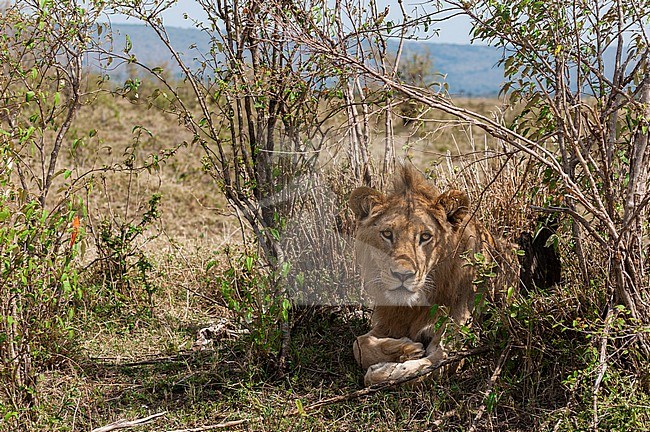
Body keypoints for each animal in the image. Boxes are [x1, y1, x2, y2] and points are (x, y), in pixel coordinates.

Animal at [346, 165, 520, 384]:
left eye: (425, 236)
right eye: (387, 234)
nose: (402, 275)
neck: (415, 306)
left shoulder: (453, 343)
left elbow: (422, 370)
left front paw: (388, 369)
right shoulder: (388, 321)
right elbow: (359, 344)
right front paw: (406, 348)